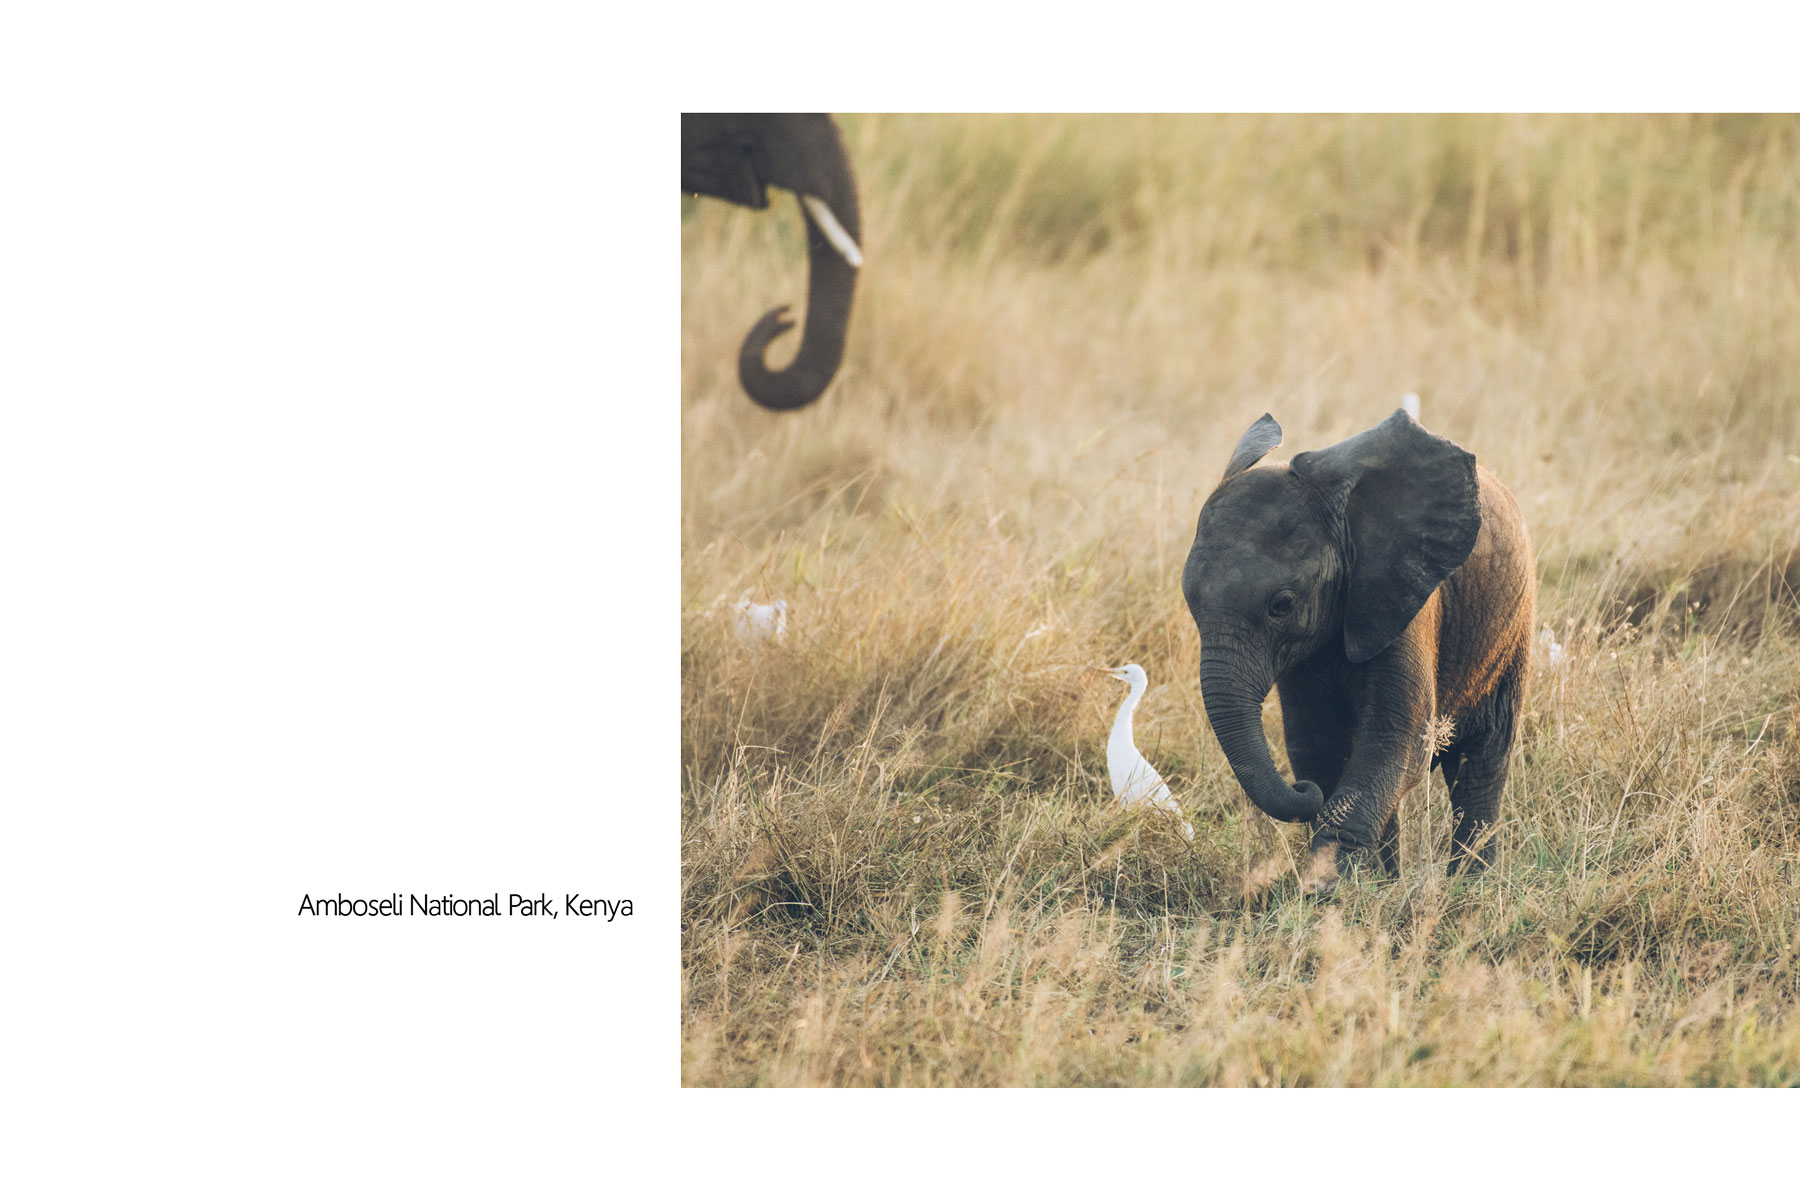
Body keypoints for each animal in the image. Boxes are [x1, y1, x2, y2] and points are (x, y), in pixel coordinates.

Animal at [1180, 408, 1533, 888]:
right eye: (1189, 600)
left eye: (1281, 605)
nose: (1301, 791)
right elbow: (1317, 743)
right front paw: (1356, 883)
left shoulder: (1401, 595)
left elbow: (1399, 736)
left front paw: (1328, 886)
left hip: (1510, 628)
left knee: (1481, 759)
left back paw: (1471, 886)